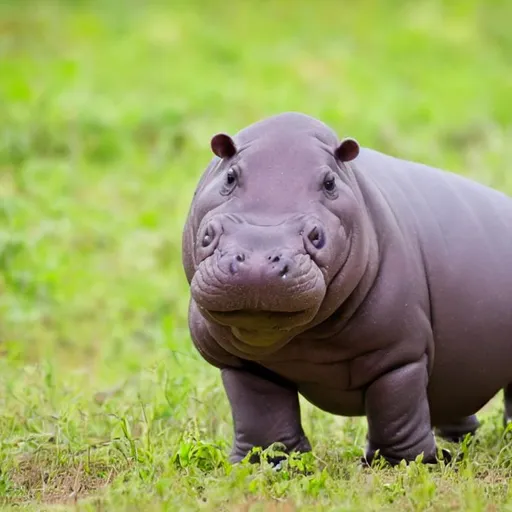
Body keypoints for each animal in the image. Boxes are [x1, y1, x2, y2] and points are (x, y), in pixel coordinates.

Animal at [180, 113, 512, 468]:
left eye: (316, 236)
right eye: (208, 235)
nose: (257, 263)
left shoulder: (398, 354)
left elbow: (396, 410)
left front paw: (404, 463)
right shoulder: (241, 363)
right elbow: (261, 413)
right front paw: (270, 463)